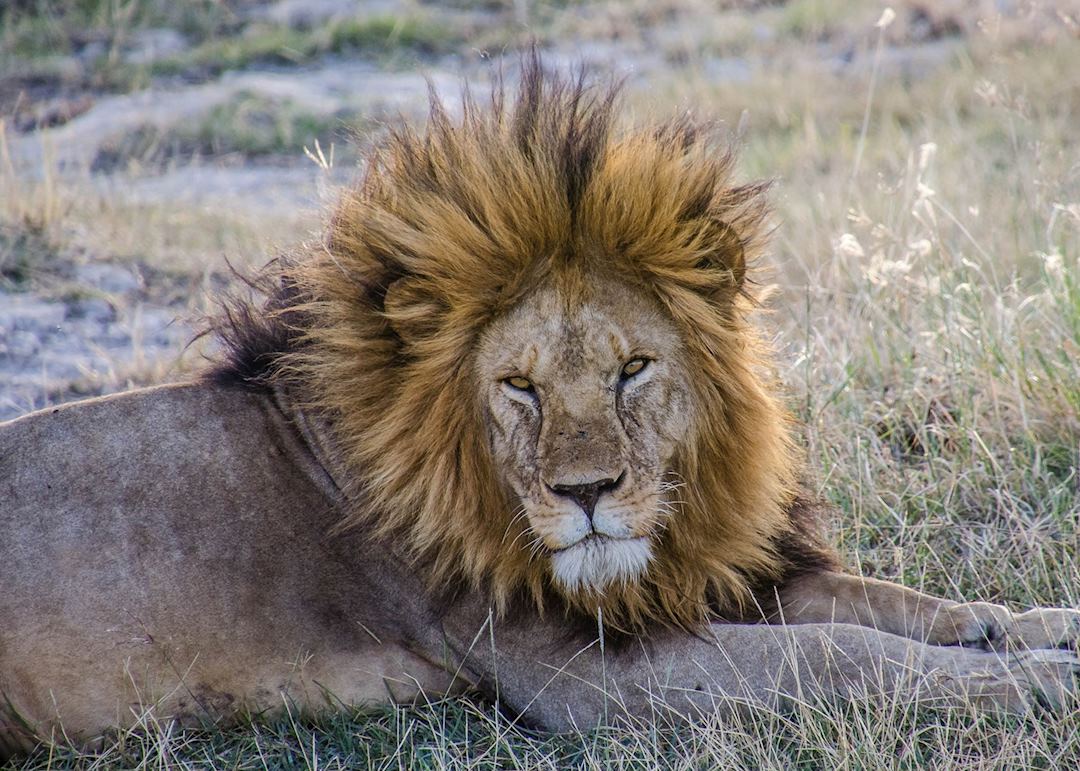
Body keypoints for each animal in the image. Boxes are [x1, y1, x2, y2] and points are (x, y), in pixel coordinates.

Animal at [2, 59, 1079, 758]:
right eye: (518, 386)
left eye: (632, 369)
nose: (588, 493)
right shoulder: (578, 676)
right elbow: (836, 656)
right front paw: (1034, 682)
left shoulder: (687, 580)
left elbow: (891, 602)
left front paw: (1033, 627)